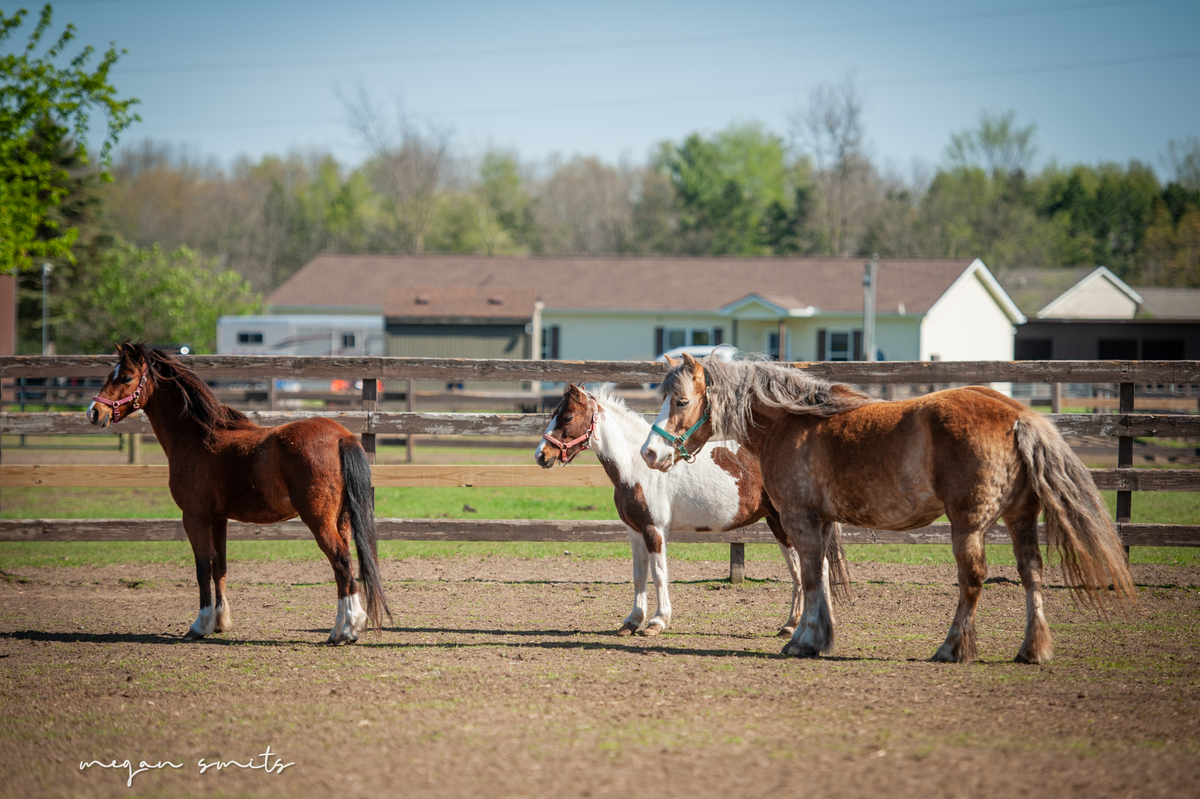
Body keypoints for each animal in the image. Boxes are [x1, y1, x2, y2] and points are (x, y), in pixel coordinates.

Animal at [87, 342, 390, 645]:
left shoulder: (194, 517)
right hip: (342, 520)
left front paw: (200, 625)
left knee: (341, 561)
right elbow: (219, 566)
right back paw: (344, 627)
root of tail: (341, 437)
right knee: (345, 568)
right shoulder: (218, 519)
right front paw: (220, 621)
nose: (94, 412)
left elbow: (202, 568)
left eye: (125, 377)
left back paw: (346, 630)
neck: (197, 437)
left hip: (319, 521)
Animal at [535, 381, 848, 637]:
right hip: (777, 522)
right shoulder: (634, 531)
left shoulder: (655, 529)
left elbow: (659, 573)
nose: (541, 455)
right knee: (808, 568)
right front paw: (632, 621)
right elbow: (639, 575)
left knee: (811, 568)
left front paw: (657, 622)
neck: (637, 467)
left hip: (786, 523)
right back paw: (796, 626)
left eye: (567, 417)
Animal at [641, 353, 1136, 664]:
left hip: (968, 525)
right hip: (1020, 519)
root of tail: (1018, 415)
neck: (792, 423)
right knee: (1032, 574)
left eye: (681, 400)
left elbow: (810, 577)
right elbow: (822, 577)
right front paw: (819, 636)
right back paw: (1032, 649)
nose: (649, 453)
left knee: (972, 580)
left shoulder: (801, 520)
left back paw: (951, 648)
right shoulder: (822, 522)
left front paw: (803, 640)